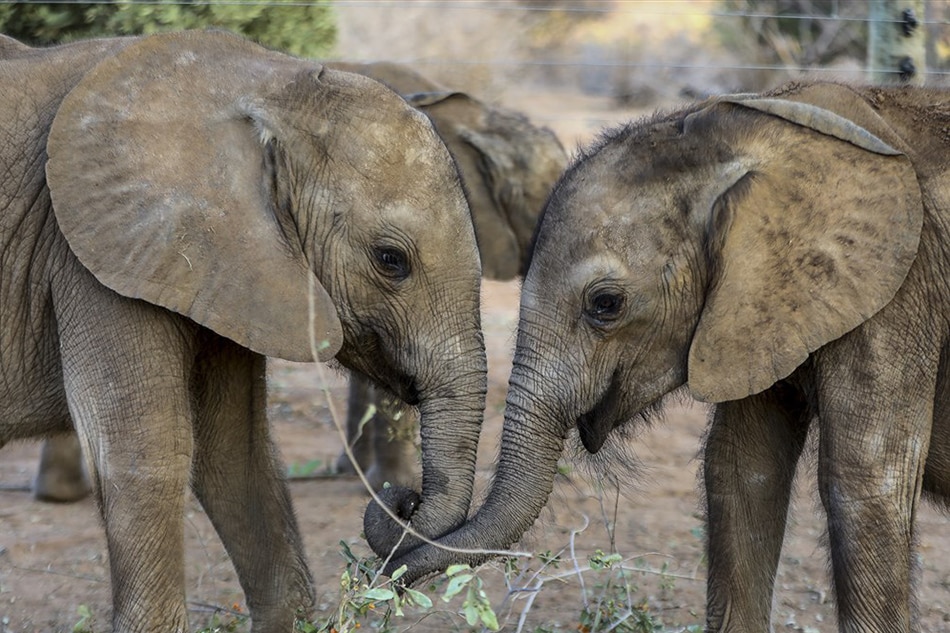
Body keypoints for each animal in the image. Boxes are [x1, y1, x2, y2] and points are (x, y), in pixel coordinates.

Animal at [1, 30, 490, 632]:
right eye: (391, 260)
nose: (404, 500)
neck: (265, 83)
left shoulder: (222, 268)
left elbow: (235, 451)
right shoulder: (94, 255)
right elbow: (146, 453)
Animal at [368, 81, 950, 628]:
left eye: (605, 304)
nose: (403, 499)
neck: (744, 127)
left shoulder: (901, 292)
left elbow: (863, 485)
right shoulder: (755, 312)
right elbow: (742, 472)